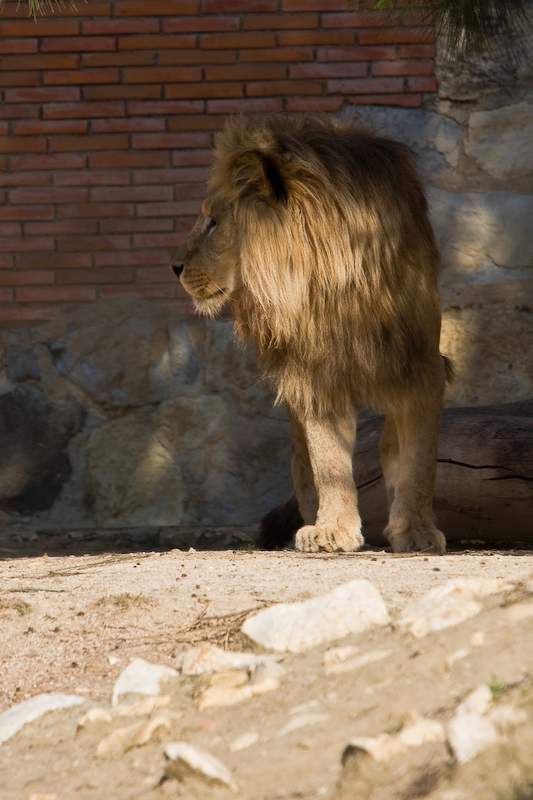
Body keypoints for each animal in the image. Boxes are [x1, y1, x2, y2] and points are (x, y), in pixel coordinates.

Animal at [170, 113, 450, 554]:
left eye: (214, 222)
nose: (175, 266)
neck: (339, 284)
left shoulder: (420, 368)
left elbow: (420, 464)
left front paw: (417, 530)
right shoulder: (316, 375)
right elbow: (328, 461)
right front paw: (333, 528)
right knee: (303, 466)